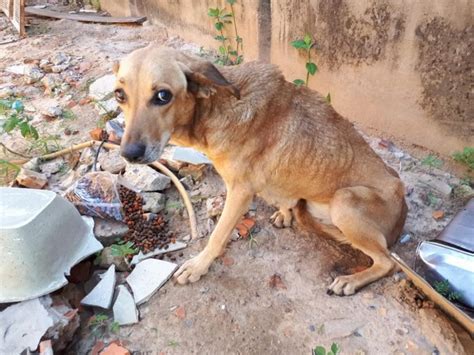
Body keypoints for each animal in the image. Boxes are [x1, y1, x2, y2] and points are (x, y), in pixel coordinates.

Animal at [113, 45, 406, 294]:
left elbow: (218, 235)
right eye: (119, 95)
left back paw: (351, 280)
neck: (214, 109)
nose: (129, 154)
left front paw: (198, 266)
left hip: (344, 201)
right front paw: (284, 211)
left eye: (163, 96)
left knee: (388, 262)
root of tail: (403, 205)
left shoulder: (239, 193)